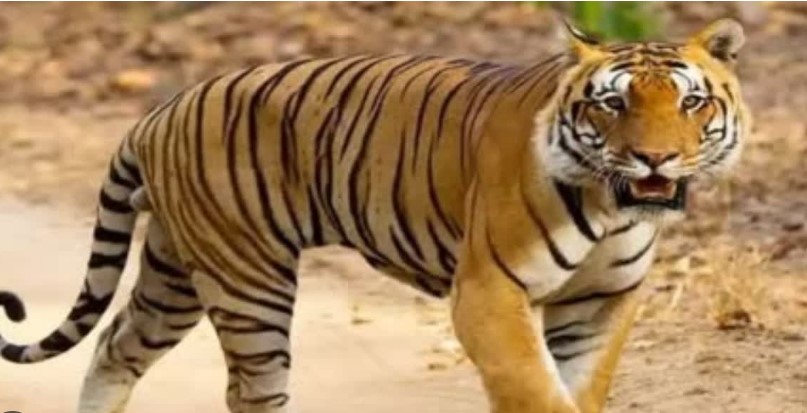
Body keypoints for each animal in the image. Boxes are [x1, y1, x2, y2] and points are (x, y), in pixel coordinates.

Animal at [0, 19, 748, 413]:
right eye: (611, 103)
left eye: (690, 102)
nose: (655, 159)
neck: (610, 204)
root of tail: (164, 108)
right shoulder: (487, 291)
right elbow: (535, 390)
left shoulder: (601, 299)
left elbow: (581, 387)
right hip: (247, 280)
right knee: (249, 389)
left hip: (175, 270)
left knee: (116, 343)